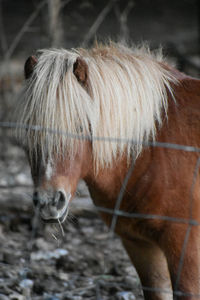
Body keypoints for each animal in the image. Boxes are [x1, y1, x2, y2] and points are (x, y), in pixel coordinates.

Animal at [15, 42, 200, 300]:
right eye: (30, 129)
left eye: (80, 126)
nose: (49, 202)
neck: (150, 146)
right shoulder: (139, 245)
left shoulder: (185, 244)